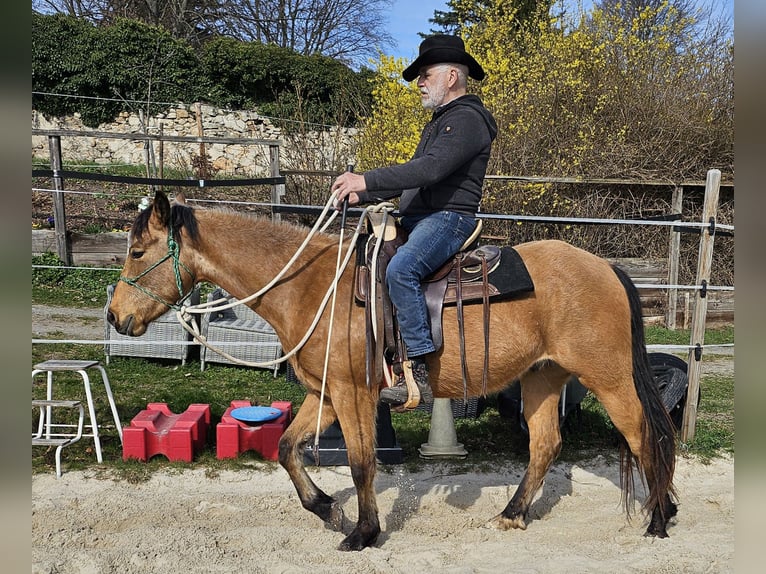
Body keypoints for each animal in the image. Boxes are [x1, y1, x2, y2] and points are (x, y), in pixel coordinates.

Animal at [107, 191, 677, 551]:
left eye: (136, 251)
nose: (115, 317)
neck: (312, 286)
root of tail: (605, 267)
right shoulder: (325, 393)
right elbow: (287, 449)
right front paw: (328, 509)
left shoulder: (352, 393)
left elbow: (362, 464)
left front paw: (362, 532)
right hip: (542, 376)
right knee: (545, 445)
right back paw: (513, 514)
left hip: (608, 376)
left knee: (643, 434)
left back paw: (659, 518)